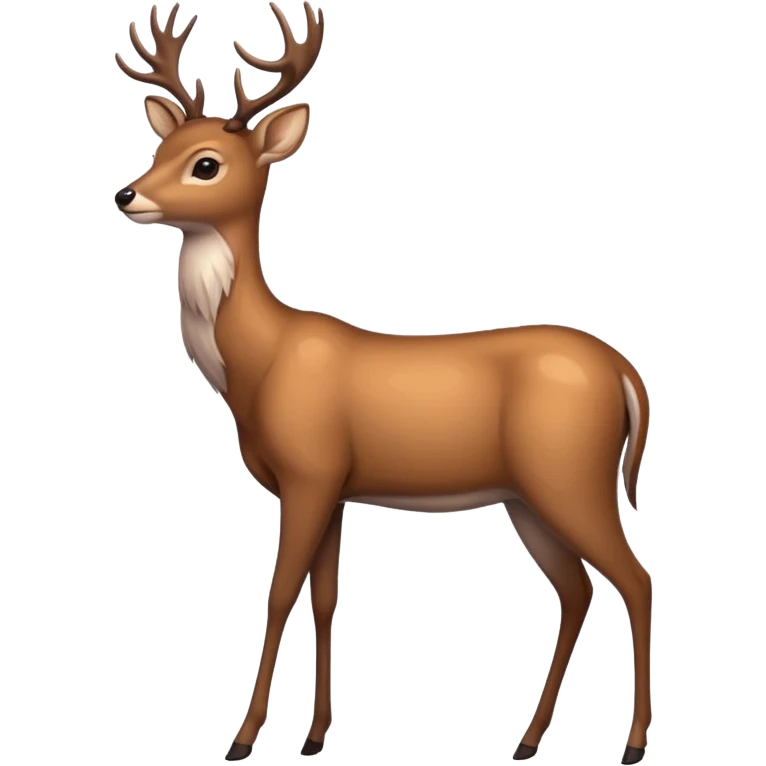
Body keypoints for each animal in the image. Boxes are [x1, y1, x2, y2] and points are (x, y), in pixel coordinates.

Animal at [113, 2, 654, 763]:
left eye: (206, 163)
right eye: (161, 148)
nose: (127, 193)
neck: (257, 366)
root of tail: (626, 371)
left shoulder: (310, 472)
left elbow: (278, 592)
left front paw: (243, 738)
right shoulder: (333, 487)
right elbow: (323, 597)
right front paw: (313, 736)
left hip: (570, 474)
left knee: (636, 579)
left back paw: (631, 743)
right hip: (528, 496)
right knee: (577, 590)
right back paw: (526, 739)